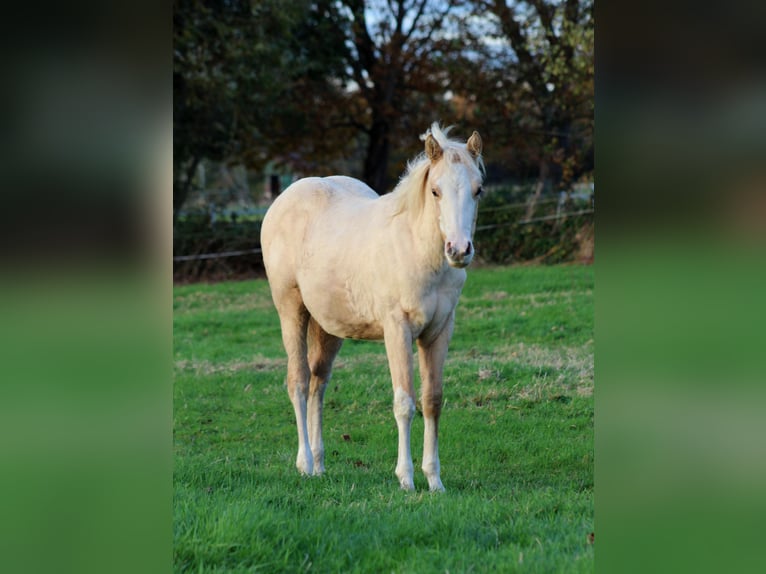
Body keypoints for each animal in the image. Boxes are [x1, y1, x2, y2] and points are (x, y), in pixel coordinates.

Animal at [261, 123, 484, 491]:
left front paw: (434, 481)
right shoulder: (398, 330)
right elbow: (404, 403)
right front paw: (406, 479)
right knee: (299, 381)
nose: (459, 250)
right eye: (435, 191)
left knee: (318, 384)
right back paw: (304, 463)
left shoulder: (439, 332)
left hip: (328, 327)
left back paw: (319, 465)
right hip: (291, 310)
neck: (416, 249)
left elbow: (432, 401)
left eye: (478, 190)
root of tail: (284, 198)